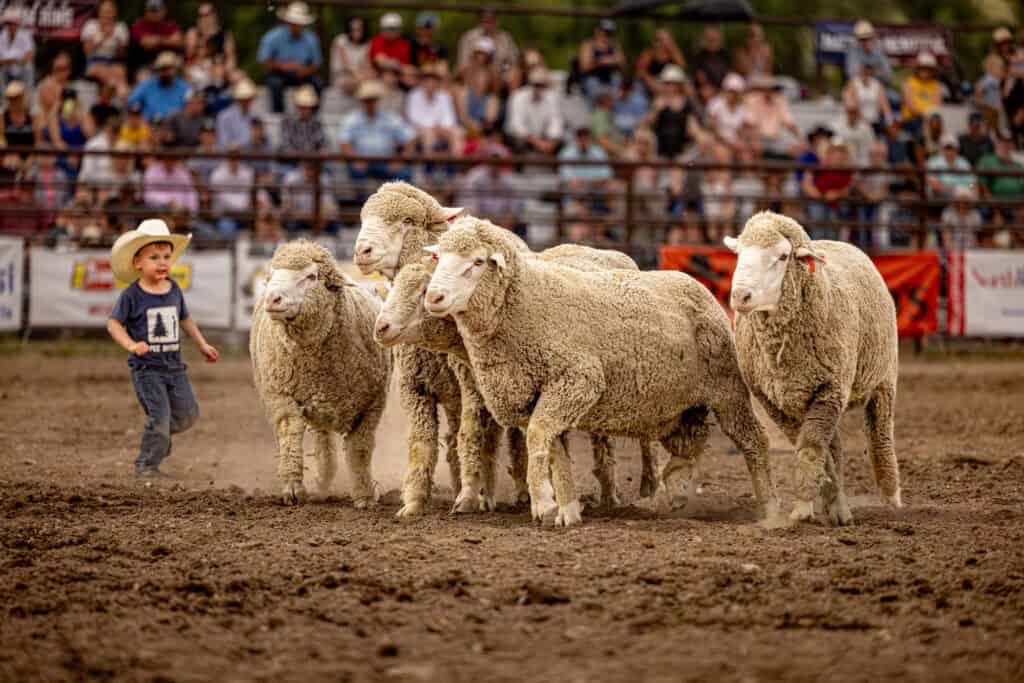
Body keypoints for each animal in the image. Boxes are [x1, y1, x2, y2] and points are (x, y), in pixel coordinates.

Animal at [250, 240, 392, 506]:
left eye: (311, 276)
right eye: (272, 274)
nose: (273, 299)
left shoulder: (372, 403)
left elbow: (360, 449)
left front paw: (365, 494)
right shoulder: (280, 396)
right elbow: (289, 436)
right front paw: (293, 489)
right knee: (323, 441)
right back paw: (322, 481)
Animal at [423, 216, 779, 527]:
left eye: (477, 262)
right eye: (439, 257)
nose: (433, 296)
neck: (524, 302)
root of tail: (697, 285)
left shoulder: (579, 381)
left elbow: (538, 437)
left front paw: (543, 502)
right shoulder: (537, 399)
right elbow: (554, 450)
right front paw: (566, 510)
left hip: (727, 391)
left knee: (754, 441)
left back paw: (769, 506)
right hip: (680, 407)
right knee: (690, 443)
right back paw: (674, 487)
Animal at [724, 211, 902, 525]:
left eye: (783, 256)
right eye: (739, 253)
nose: (740, 296)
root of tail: (837, 240)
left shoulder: (830, 388)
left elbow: (810, 447)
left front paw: (803, 506)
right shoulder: (775, 401)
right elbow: (815, 449)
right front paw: (823, 498)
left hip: (882, 380)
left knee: (880, 437)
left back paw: (892, 500)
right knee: (837, 446)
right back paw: (839, 505)